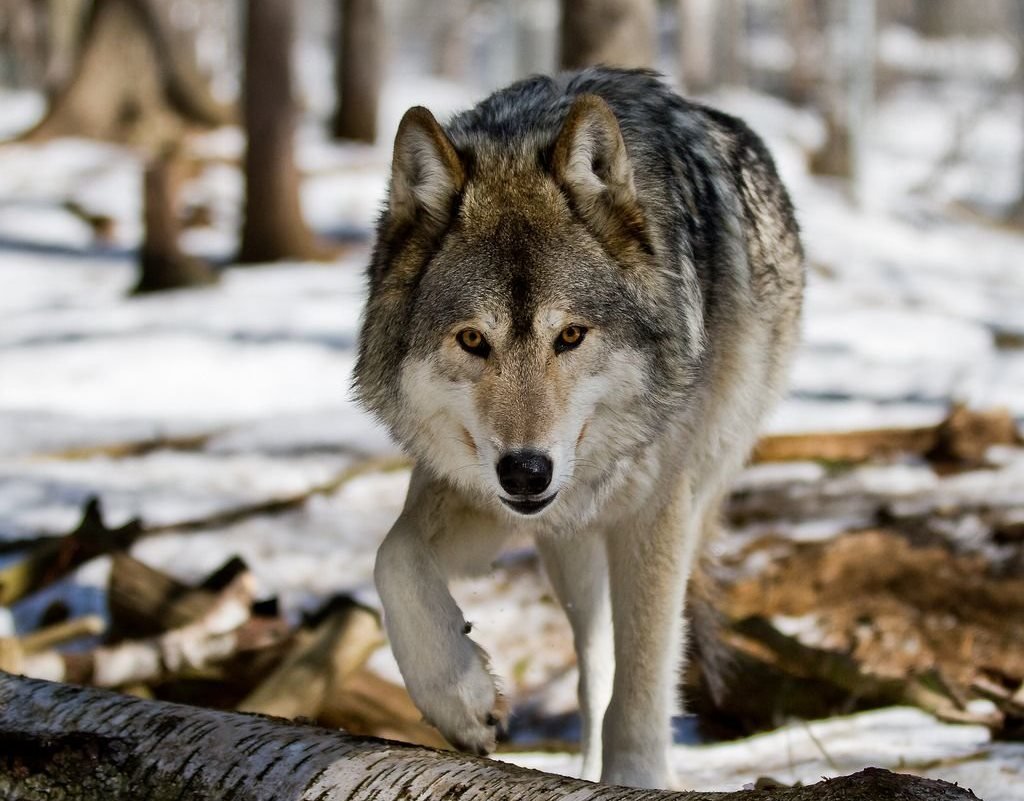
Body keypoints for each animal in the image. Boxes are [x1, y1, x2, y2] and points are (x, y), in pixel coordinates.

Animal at [355, 67, 804, 789]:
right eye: (473, 340)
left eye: (570, 335)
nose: (526, 470)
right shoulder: (481, 488)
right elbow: (393, 557)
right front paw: (460, 698)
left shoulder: (657, 511)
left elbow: (644, 682)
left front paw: (638, 781)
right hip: (569, 551)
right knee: (595, 672)